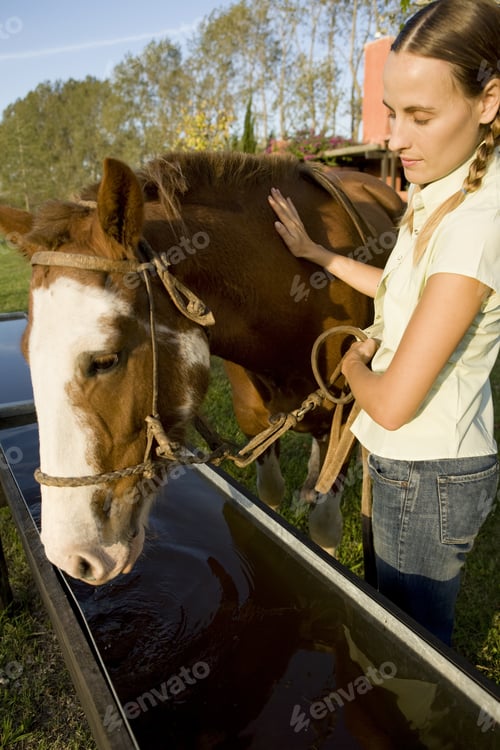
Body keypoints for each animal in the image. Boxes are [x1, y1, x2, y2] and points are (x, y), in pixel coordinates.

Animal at [0, 151, 404, 585]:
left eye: (106, 360)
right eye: (27, 354)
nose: (71, 555)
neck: (301, 294)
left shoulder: (343, 420)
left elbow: (325, 526)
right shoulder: (255, 424)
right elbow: (271, 494)